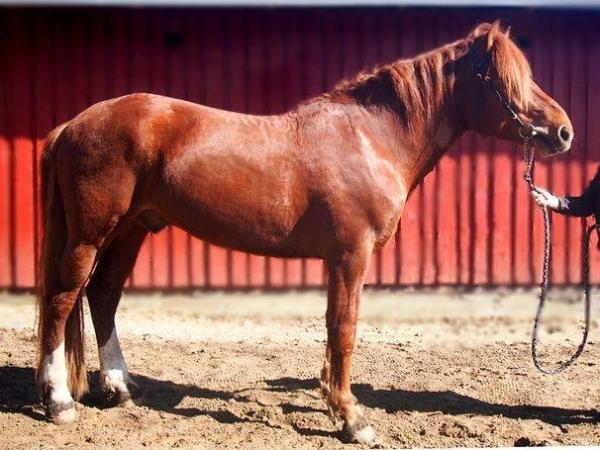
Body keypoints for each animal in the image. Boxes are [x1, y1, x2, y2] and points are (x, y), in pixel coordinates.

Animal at [36, 21, 572, 443]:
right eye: (507, 80)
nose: (564, 132)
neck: (371, 139)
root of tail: (71, 125)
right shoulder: (350, 256)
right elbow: (344, 330)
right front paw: (351, 418)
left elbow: (336, 330)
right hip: (91, 233)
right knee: (64, 297)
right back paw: (59, 401)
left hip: (132, 230)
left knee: (103, 295)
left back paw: (120, 387)